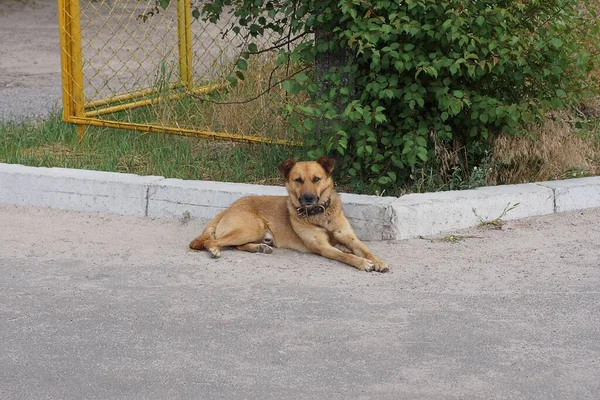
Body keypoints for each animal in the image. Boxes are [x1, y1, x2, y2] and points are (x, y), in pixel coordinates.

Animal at [190, 156, 392, 272]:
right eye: (298, 180)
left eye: (316, 179)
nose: (309, 198)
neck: (319, 215)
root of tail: (228, 208)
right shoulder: (324, 247)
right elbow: (346, 255)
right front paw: (362, 263)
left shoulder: (350, 238)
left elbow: (366, 250)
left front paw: (378, 261)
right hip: (252, 228)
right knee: (211, 241)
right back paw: (214, 249)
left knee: (237, 246)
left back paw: (259, 248)